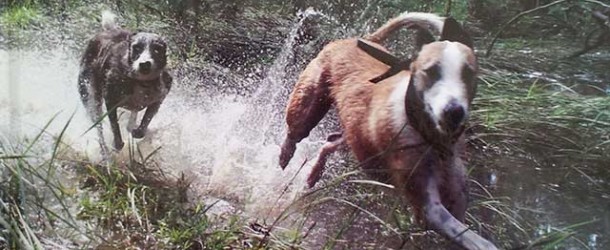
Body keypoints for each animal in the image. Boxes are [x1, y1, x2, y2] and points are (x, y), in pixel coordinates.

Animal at [78, 10, 171, 152]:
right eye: (136, 48)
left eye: (157, 49)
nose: (145, 64)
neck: (141, 82)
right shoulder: (110, 99)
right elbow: (114, 125)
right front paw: (117, 143)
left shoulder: (159, 97)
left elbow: (146, 119)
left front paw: (138, 131)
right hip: (89, 93)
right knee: (98, 123)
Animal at [278, 12, 496, 250]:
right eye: (431, 71)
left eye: (468, 73)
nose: (454, 111)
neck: (430, 137)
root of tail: (359, 39)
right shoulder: (427, 208)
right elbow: (476, 239)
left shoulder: (457, 197)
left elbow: (464, 227)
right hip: (308, 105)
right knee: (295, 133)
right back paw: (285, 156)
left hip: (355, 138)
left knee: (329, 142)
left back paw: (312, 175)